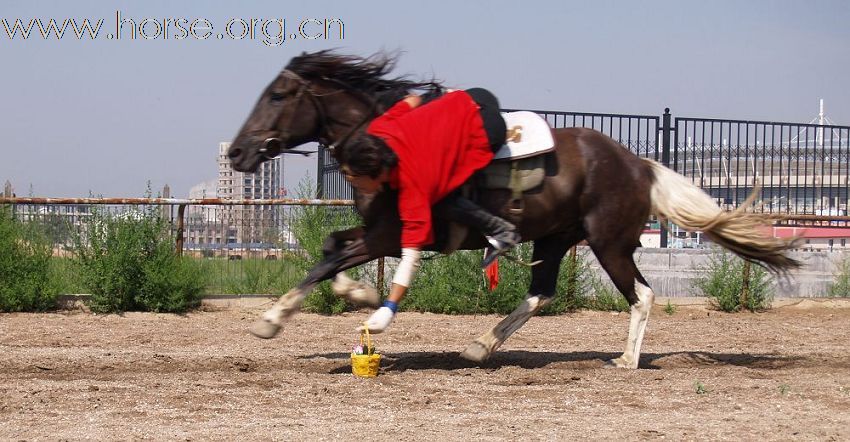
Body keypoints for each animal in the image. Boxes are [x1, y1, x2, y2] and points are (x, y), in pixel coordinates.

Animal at [224, 51, 796, 370]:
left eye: (279, 95)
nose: (237, 153)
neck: (391, 138)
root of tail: (640, 164)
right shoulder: (376, 228)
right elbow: (331, 249)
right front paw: (342, 297)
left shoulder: (391, 232)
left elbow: (331, 258)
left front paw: (276, 319)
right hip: (555, 237)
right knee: (542, 292)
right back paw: (480, 346)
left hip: (608, 242)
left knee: (642, 293)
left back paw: (627, 360)